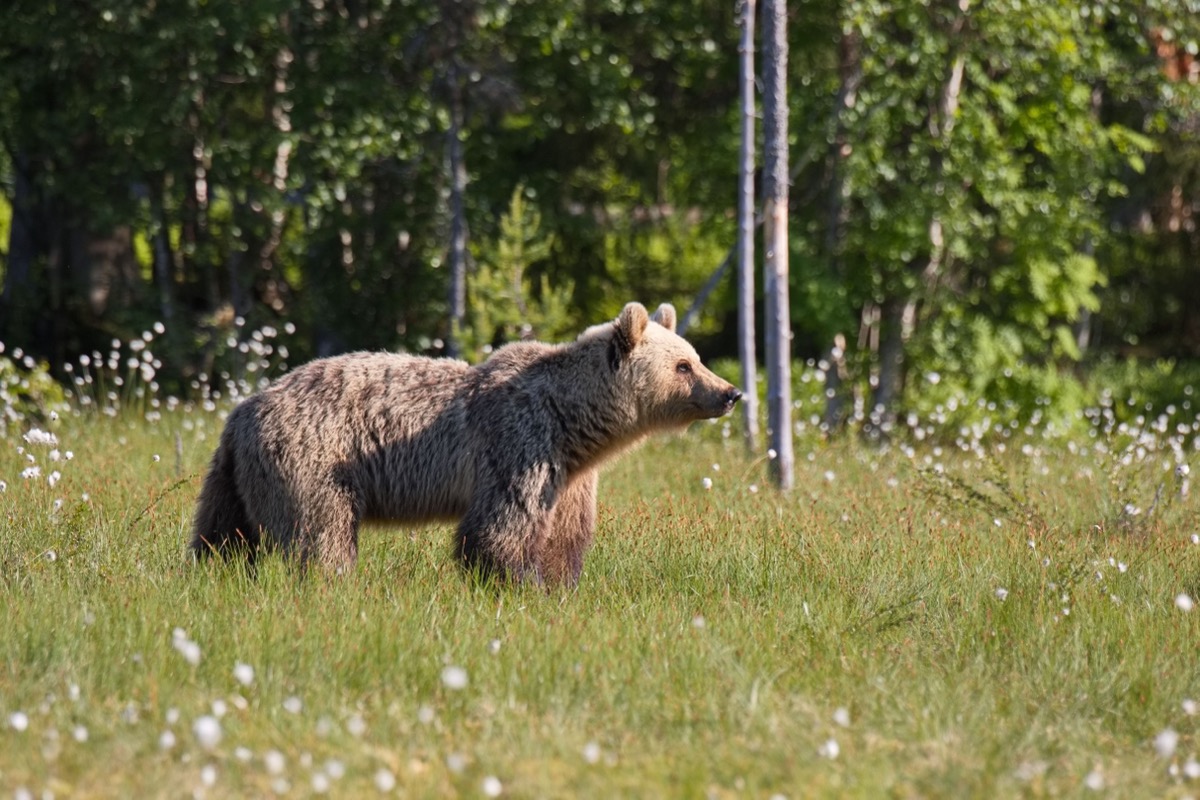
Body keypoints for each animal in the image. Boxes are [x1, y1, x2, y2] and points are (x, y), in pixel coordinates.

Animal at [189, 303, 739, 585]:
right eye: (683, 366)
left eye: (695, 356)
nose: (730, 392)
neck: (574, 424)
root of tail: (241, 410)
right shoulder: (518, 444)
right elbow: (501, 528)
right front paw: (517, 584)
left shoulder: (570, 474)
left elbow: (566, 537)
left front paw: (561, 584)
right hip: (314, 458)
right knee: (320, 531)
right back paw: (333, 581)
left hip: (233, 474)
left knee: (223, 532)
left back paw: (213, 573)